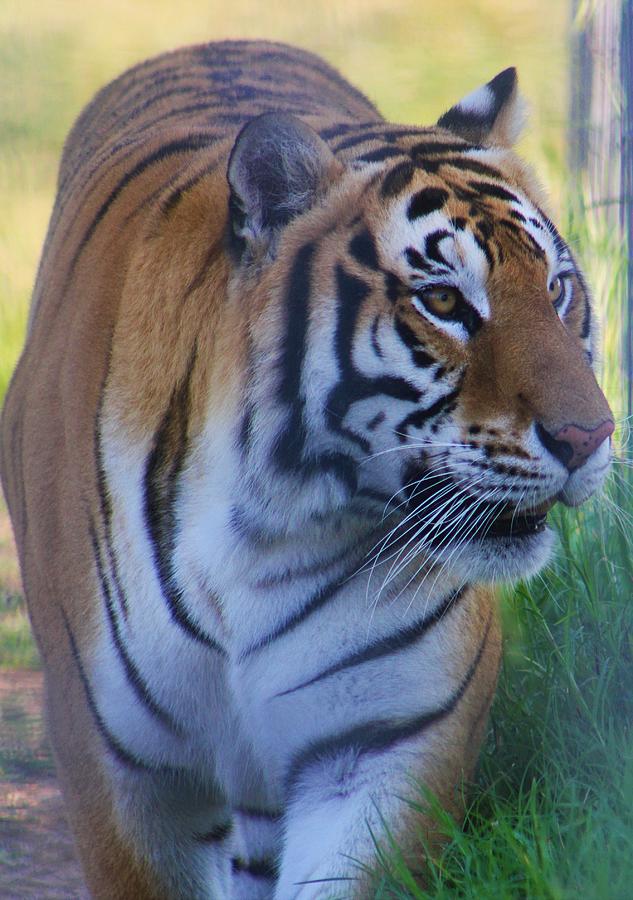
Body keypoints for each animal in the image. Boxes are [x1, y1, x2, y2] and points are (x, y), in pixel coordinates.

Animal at [0, 38, 612, 896]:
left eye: (556, 289)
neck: (265, 527)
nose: (591, 436)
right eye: (443, 303)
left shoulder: (383, 749)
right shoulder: (127, 775)